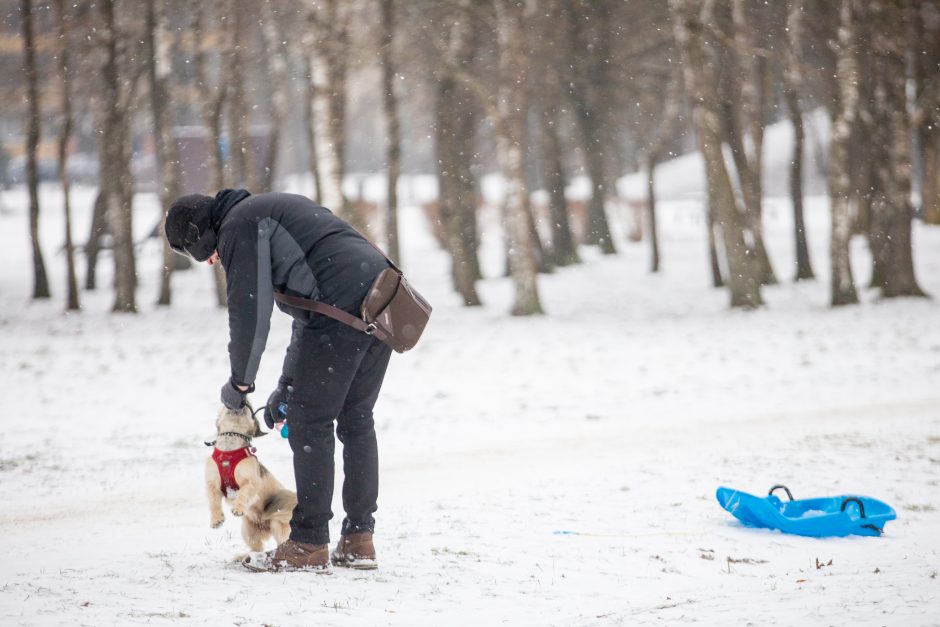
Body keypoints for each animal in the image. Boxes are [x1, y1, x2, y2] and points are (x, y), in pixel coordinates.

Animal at [206, 408, 298, 548]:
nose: (242, 405)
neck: (228, 451)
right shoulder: (212, 483)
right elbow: (213, 502)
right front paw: (216, 520)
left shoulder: (251, 481)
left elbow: (244, 493)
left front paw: (238, 509)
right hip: (248, 531)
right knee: (256, 546)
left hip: (278, 522)